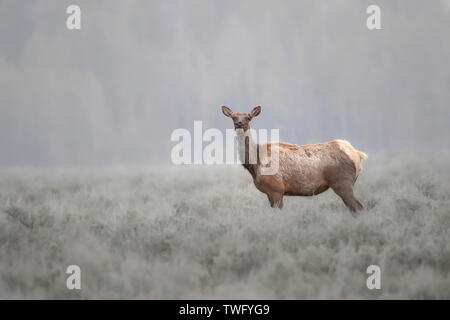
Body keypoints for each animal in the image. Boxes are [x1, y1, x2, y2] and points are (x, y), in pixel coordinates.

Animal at [220, 105, 368, 215]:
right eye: (234, 117)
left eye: (248, 117)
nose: (239, 123)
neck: (255, 165)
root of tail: (358, 154)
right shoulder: (270, 193)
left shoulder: (276, 189)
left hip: (342, 182)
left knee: (358, 207)